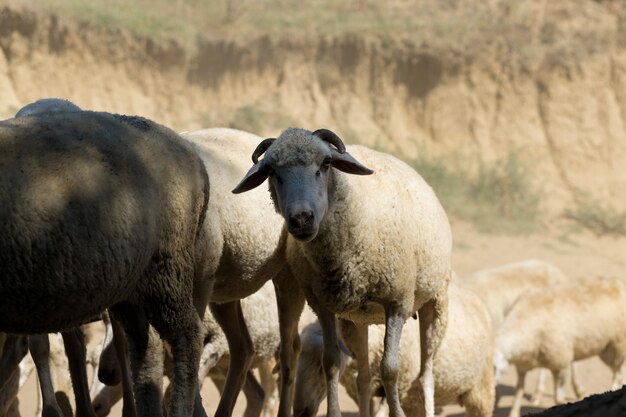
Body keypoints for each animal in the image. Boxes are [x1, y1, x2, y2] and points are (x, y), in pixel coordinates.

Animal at [232, 127, 450, 416]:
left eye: (326, 163)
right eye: (271, 171)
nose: (301, 218)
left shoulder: (398, 302)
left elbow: (390, 370)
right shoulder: (321, 303)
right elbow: (332, 361)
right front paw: (333, 411)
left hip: (435, 303)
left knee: (426, 374)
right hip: (355, 318)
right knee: (364, 376)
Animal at [490, 276, 624, 416]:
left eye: (493, 368)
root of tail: (618, 282)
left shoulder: (561, 364)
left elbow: (558, 399)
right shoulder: (522, 366)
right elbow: (518, 393)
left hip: (617, 344)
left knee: (618, 375)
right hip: (607, 349)